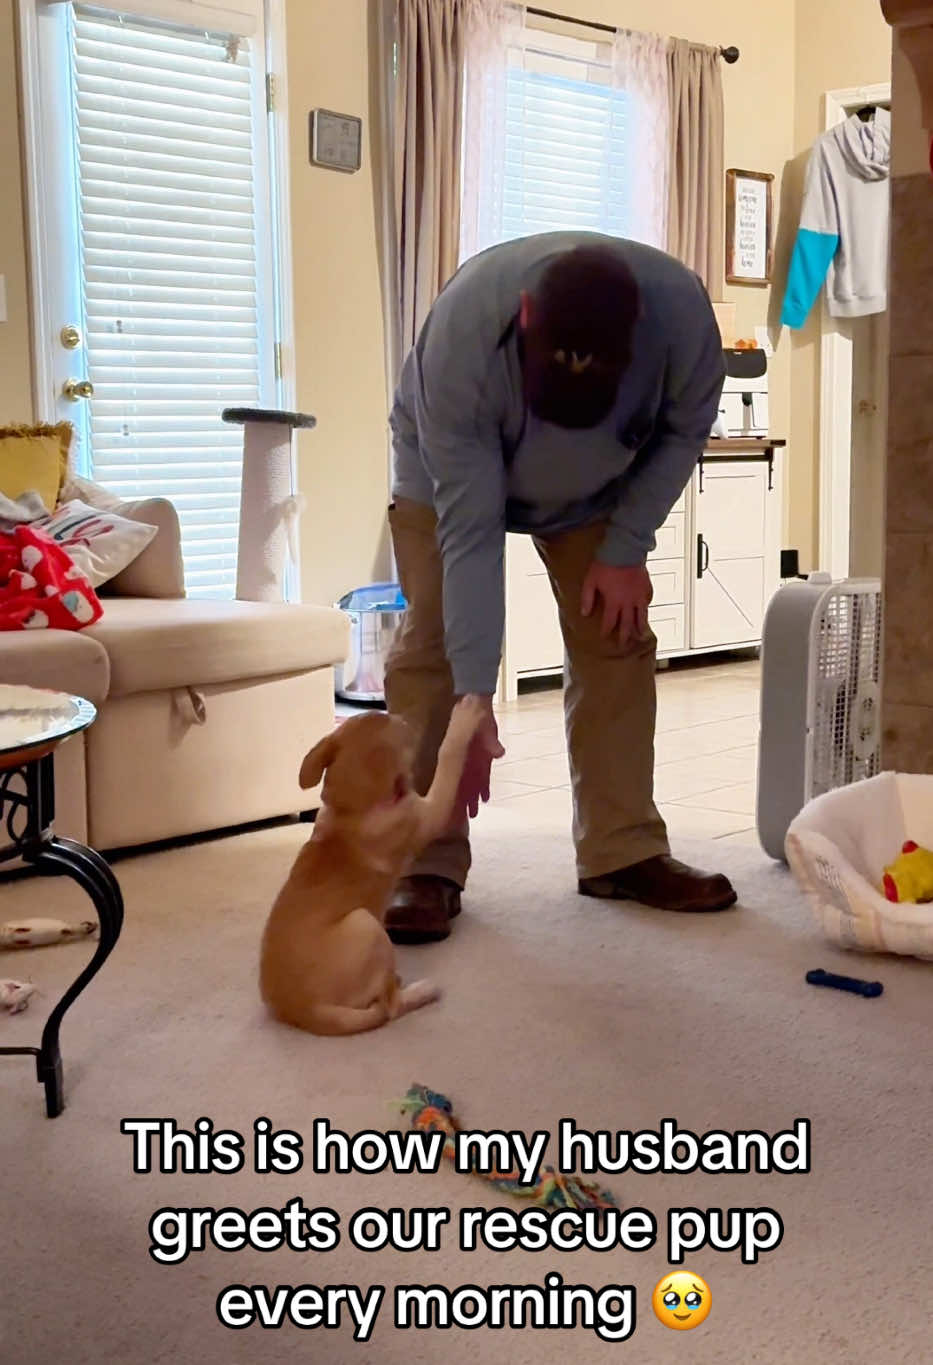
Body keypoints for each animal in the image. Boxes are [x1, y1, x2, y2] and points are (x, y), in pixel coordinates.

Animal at [259, 693, 485, 1031]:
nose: (405, 718)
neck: (352, 810)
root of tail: (304, 1010)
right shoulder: (426, 813)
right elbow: (448, 757)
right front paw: (464, 719)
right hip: (367, 925)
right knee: (389, 1007)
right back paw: (422, 990)